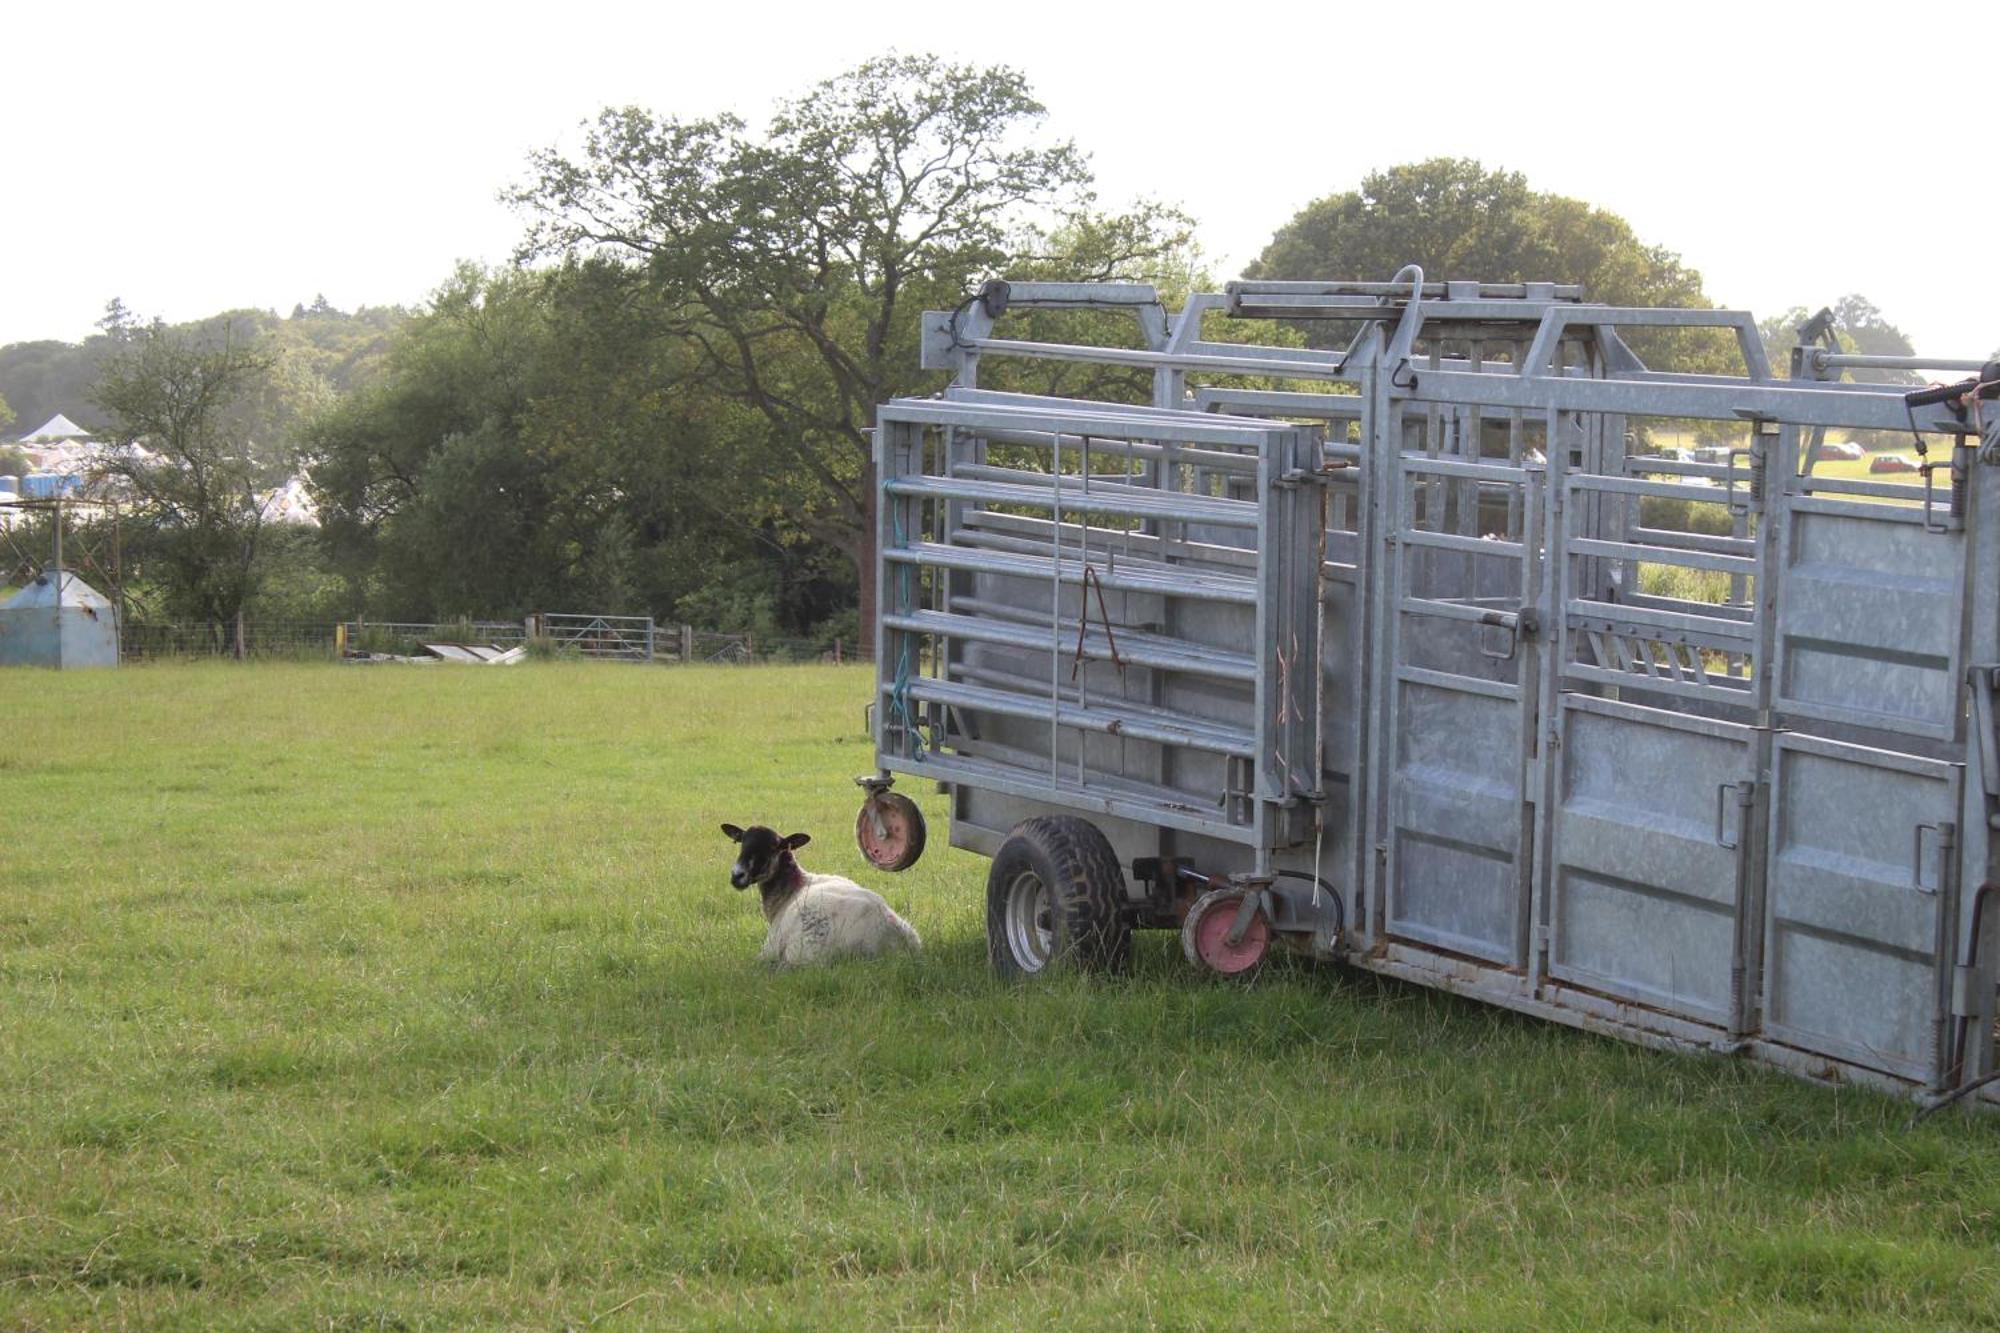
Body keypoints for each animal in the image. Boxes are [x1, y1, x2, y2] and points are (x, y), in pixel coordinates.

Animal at [724, 820, 924, 964]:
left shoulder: (770, 947)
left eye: (773, 847)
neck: (790, 889)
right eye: (741, 842)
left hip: (804, 952)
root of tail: (893, 938)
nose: (736, 875)